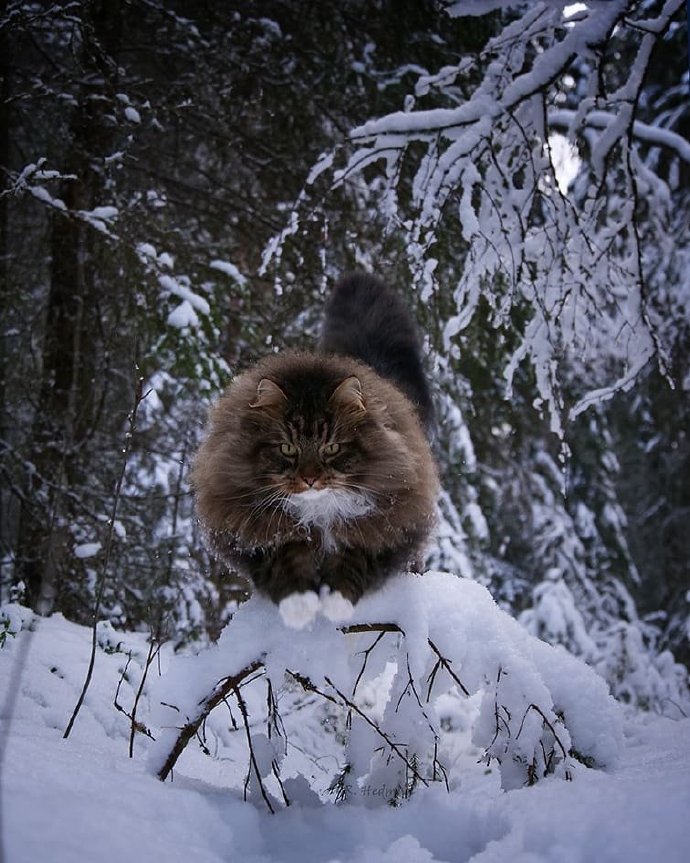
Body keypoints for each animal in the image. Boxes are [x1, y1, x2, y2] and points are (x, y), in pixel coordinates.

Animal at [188, 274, 436, 624]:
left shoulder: (384, 526)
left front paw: (335, 605)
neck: (317, 512)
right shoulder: (250, 527)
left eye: (331, 447)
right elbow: (284, 558)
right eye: (287, 448)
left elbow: (353, 561)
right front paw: (300, 608)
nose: (310, 479)